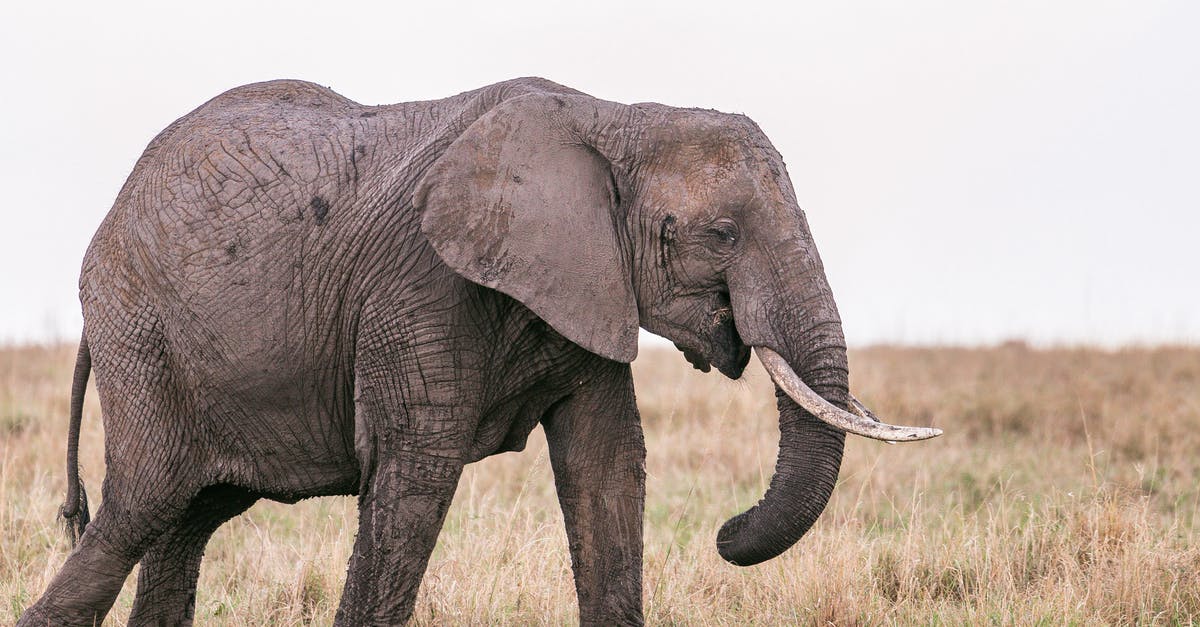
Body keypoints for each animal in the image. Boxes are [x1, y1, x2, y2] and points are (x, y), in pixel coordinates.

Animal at [18, 78, 936, 624]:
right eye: (721, 233)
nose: (726, 530)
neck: (612, 116)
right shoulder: (419, 286)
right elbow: (414, 478)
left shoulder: (586, 284)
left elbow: (607, 467)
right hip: (142, 335)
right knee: (139, 508)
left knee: (185, 520)